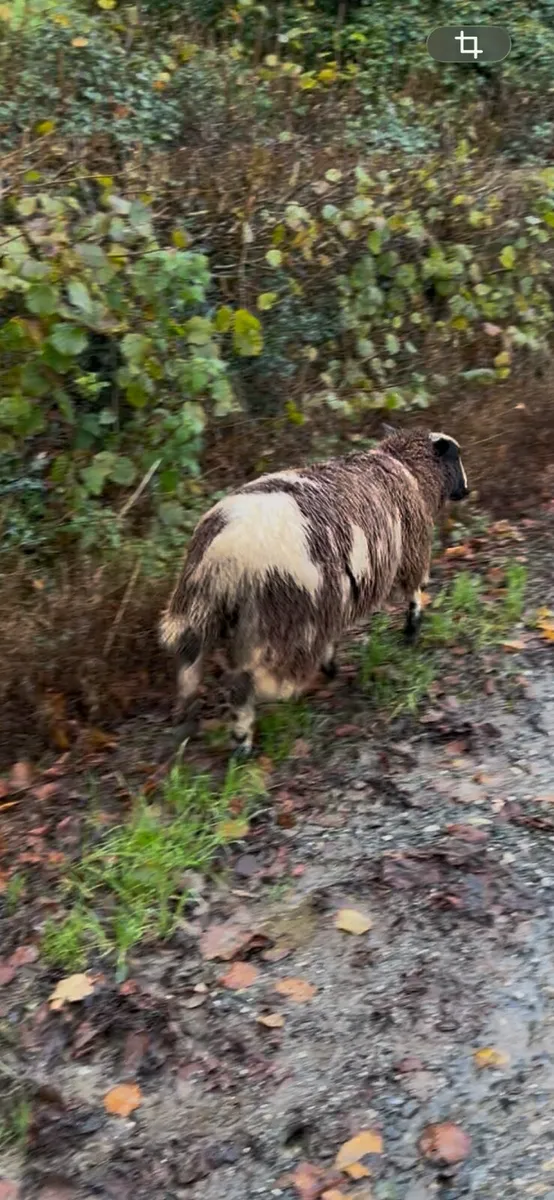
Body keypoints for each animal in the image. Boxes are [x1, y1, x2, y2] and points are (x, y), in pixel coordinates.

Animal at [159, 427, 469, 756]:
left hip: (198, 606)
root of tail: (226, 554)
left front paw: (331, 665)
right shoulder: (410, 552)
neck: (408, 470)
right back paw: (244, 739)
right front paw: (411, 632)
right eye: (456, 455)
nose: (466, 490)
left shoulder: (334, 597)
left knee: (190, 661)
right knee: (246, 680)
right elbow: (415, 594)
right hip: (282, 619)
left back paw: (187, 718)